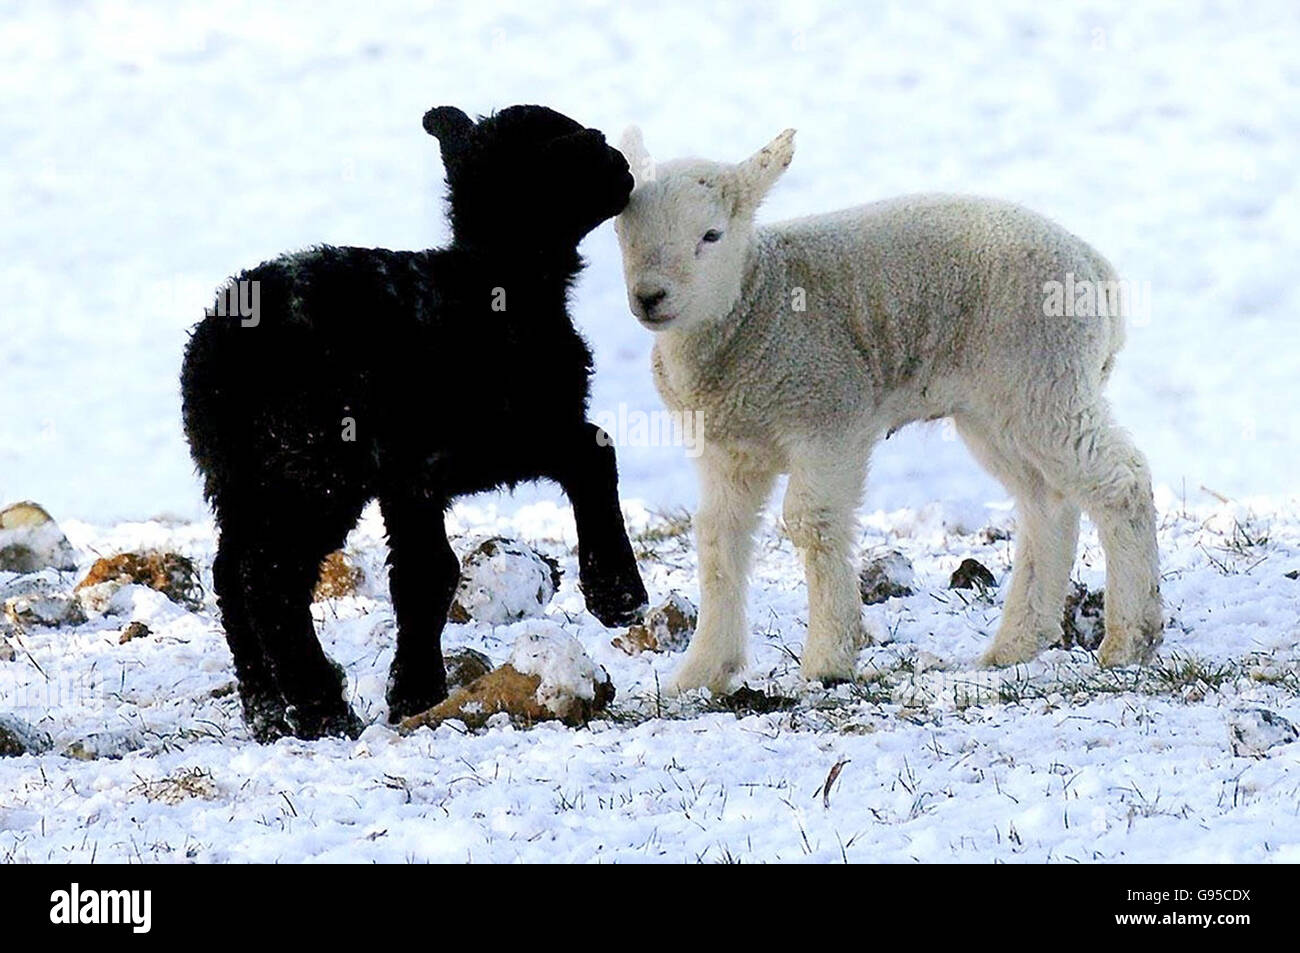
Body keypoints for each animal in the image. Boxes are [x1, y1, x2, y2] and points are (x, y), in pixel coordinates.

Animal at [181, 105, 648, 741]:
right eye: (581, 143)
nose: (624, 168)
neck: (501, 276)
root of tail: (214, 353)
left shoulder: (410, 480)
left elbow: (422, 576)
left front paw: (411, 694)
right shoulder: (505, 435)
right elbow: (594, 454)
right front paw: (617, 595)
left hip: (241, 478)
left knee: (231, 573)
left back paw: (268, 709)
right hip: (313, 471)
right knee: (269, 579)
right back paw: (321, 708)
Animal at [614, 126, 1162, 693]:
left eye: (711, 235)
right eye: (623, 232)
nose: (650, 296)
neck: (755, 305)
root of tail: (1100, 276)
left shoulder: (829, 416)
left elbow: (811, 522)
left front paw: (827, 659)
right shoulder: (727, 450)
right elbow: (718, 538)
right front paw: (701, 671)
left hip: (1046, 377)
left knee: (1120, 481)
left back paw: (1129, 638)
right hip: (998, 409)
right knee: (1046, 503)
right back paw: (1015, 644)